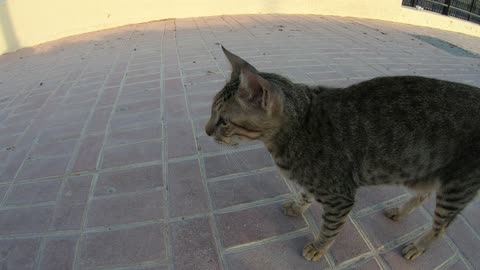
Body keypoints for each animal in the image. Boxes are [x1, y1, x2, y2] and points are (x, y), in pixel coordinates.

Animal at [206, 47, 480, 262]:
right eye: (211, 111)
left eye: (224, 121)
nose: (207, 131)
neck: (299, 125)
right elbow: (305, 193)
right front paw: (298, 205)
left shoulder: (340, 196)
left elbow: (330, 228)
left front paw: (319, 248)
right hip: (421, 169)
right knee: (423, 194)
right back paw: (400, 212)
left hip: (456, 187)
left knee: (441, 227)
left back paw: (417, 246)